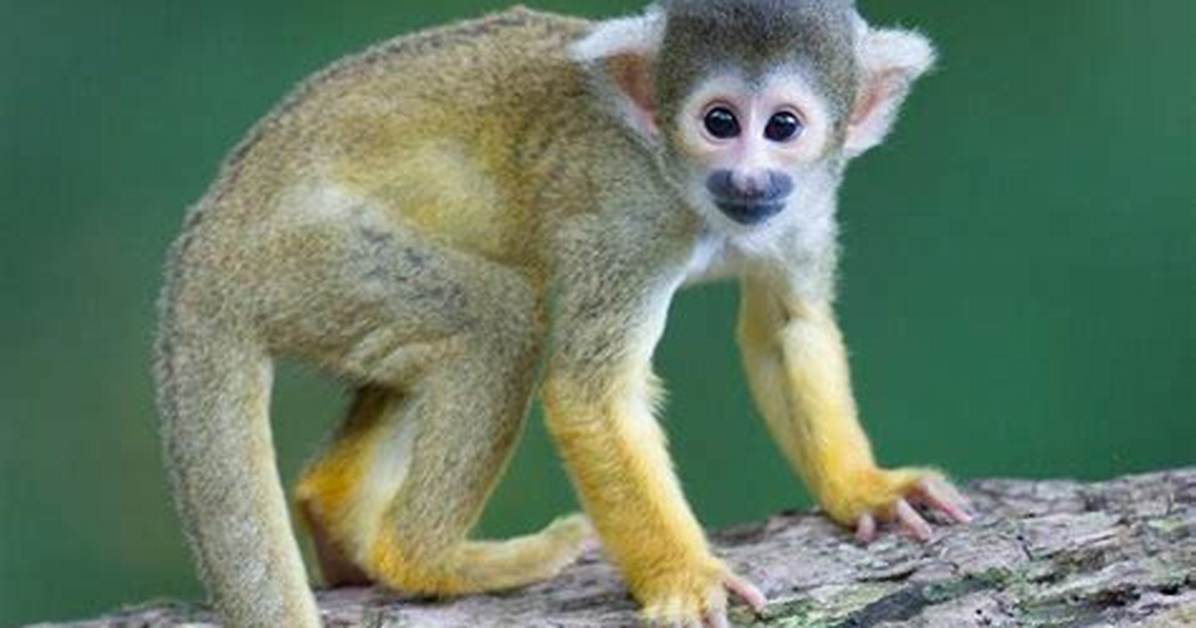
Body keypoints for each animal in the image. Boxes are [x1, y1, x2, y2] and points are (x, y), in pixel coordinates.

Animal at [154, 1, 972, 626]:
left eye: (782, 128)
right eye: (718, 121)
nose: (747, 178)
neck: (687, 189)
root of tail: (206, 236)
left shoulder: (805, 201)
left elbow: (786, 328)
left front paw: (864, 488)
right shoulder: (629, 219)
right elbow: (590, 395)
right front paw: (684, 579)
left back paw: (337, 520)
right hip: (307, 262)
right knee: (500, 320)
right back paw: (427, 558)